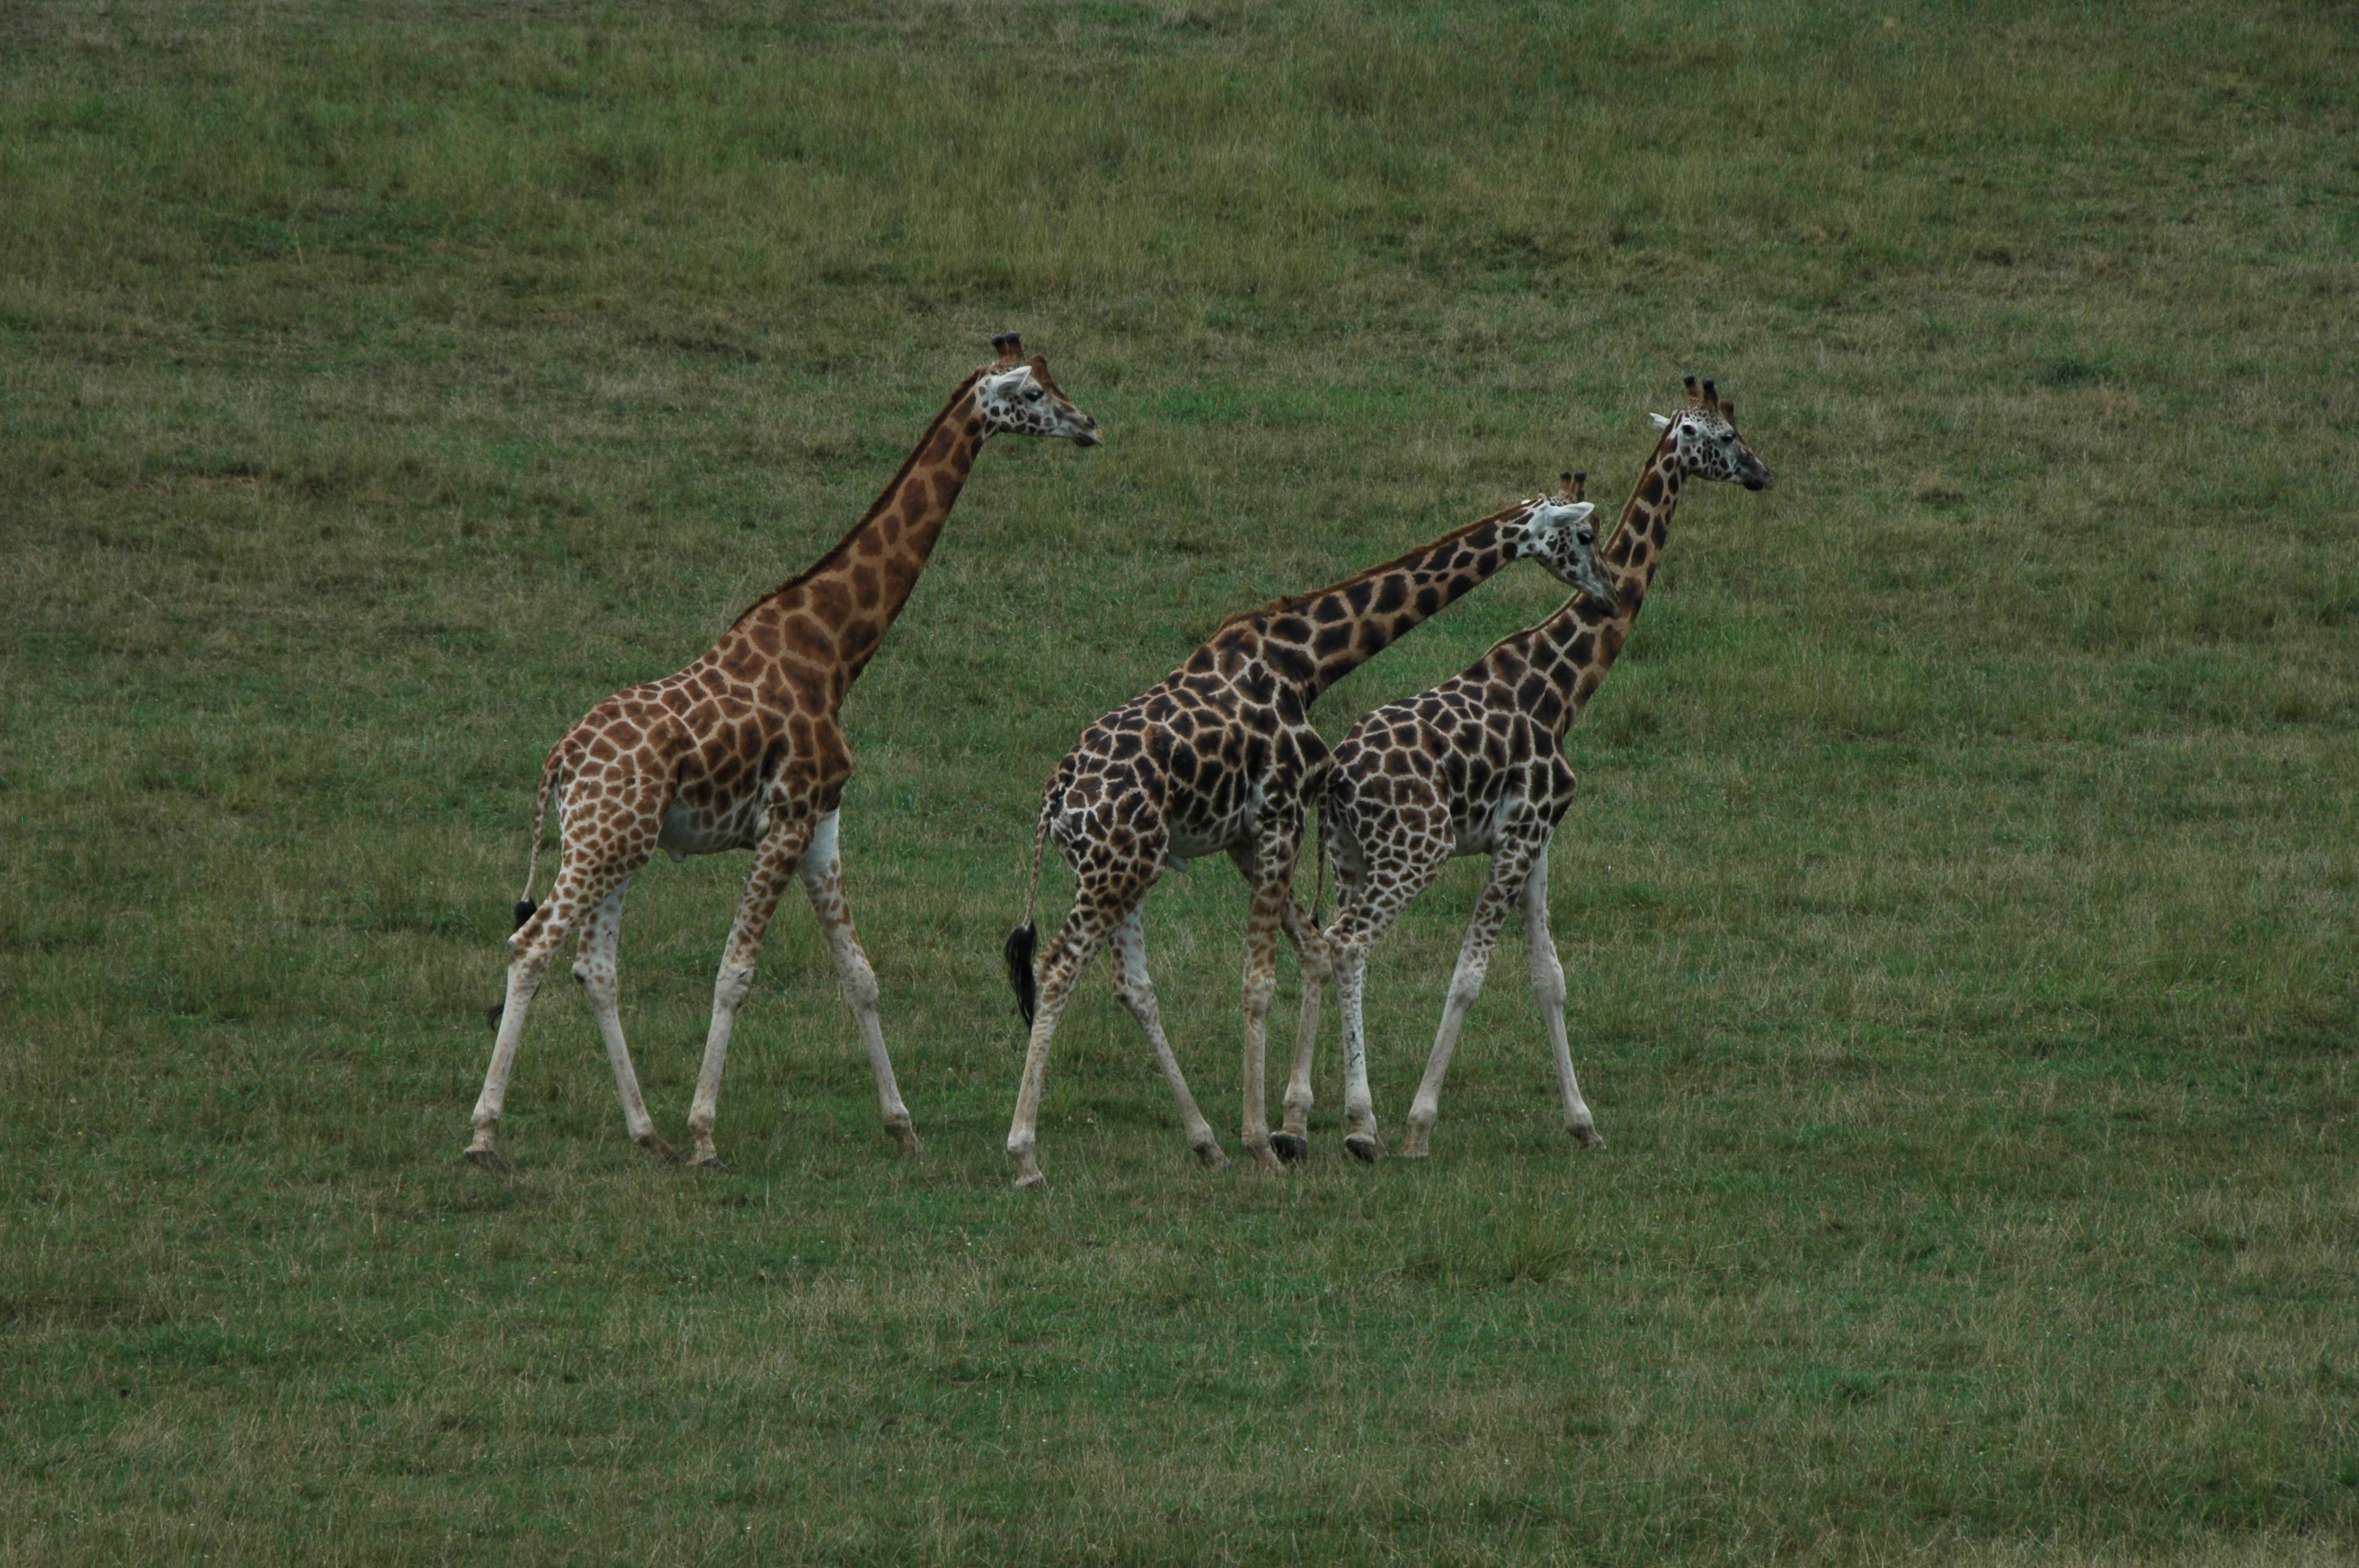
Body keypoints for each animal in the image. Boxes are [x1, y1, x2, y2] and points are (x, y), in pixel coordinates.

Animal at [464, 334, 1101, 1171]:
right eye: (1031, 395)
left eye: (1057, 385)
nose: (1089, 425)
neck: (832, 651)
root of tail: (560, 761)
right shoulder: (786, 821)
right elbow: (735, 973)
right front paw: (706, 1134)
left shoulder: (822, 822)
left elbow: (858, 973)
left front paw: (903, 1127)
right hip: (603, 844)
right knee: (531, 947)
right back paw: (485, 1134)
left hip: (616, 844)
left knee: (593, 968)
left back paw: (645, 1134)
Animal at [999, 478, 1620, 1189]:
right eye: (1583, 536)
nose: (1609, 594)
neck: (1308, 660)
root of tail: (1054, 802)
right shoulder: (1280, 816)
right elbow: (1261, 980)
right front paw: (1265, 1142)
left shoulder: (1247, 836)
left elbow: (1311, 951)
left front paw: (1285, 1129)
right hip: (1114, 869)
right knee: (1056, 968)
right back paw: (1025, 1155)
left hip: (1129, 866)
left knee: (1132, 987)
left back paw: (1203, 1144)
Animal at [1305, 377, 1773, 1162]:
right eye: (1728, 438)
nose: (1763, 474)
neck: (1557, 688)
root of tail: (1335, 777)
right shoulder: (1521, 833)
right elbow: (1468, 977)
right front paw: (1420, 1125)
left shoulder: (1537, 837)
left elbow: (1548, 977)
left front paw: (1583, 1122)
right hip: (1413, 852)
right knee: (1348, 945)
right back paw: (1361, 1124)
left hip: (1349, 856)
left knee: (1318, 943)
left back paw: (1294, 1113)